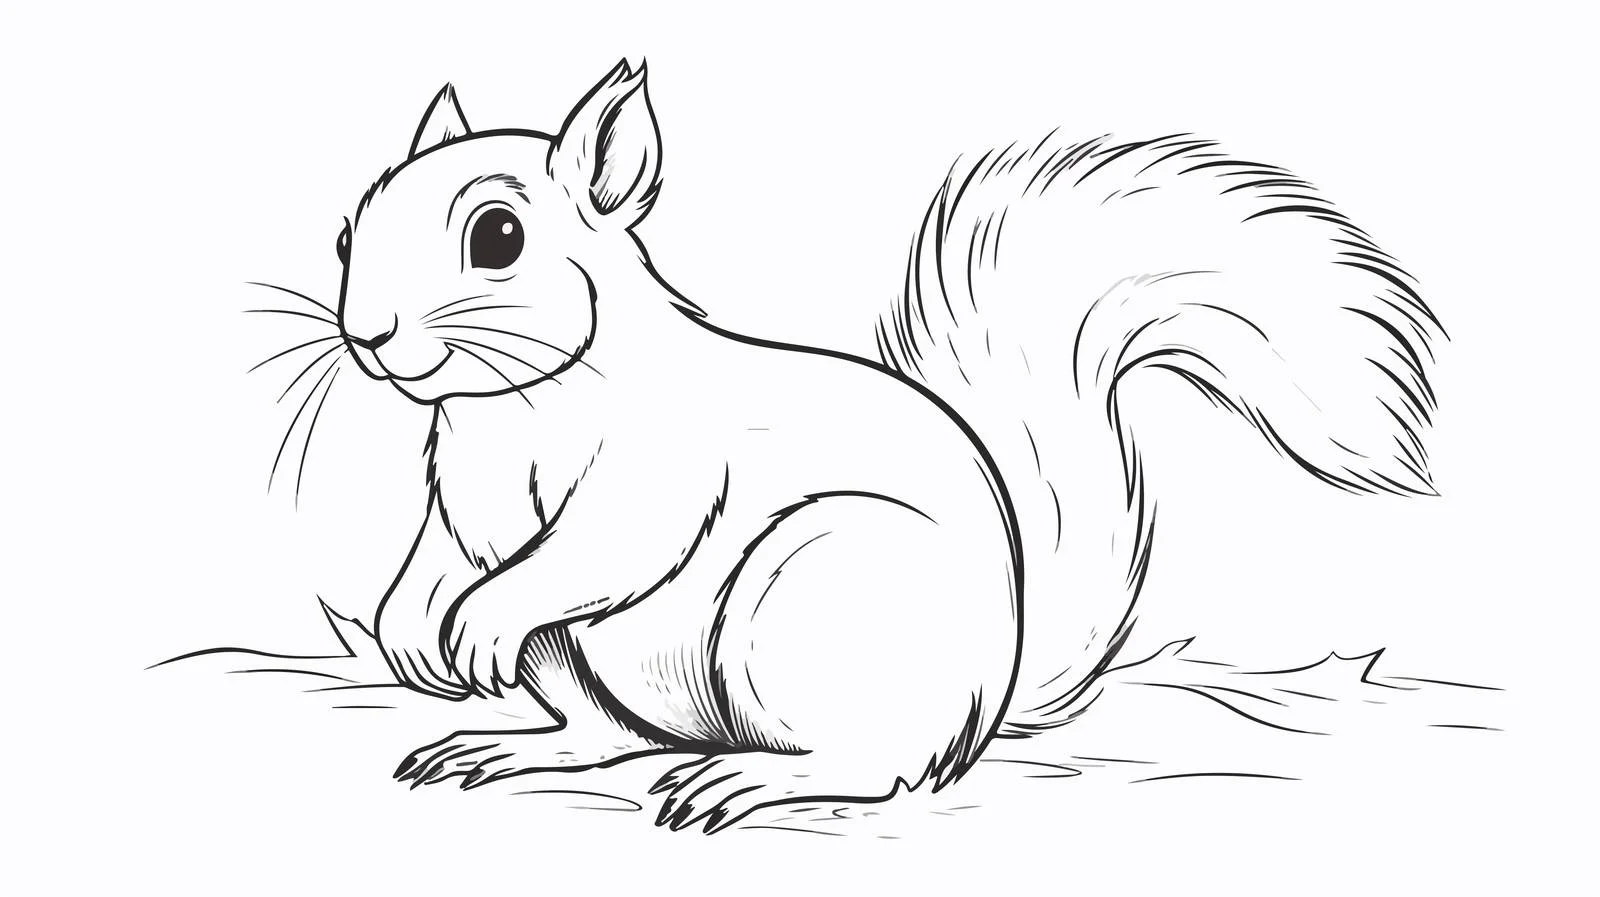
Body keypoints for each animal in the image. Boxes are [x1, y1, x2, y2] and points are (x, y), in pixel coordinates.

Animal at [330, 60, 1442, 833]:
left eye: (499, 237)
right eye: (347, 233)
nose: (366, 336)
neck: (508, 409)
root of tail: (988, 697)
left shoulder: (656, 469)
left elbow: (602, 547)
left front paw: (475, 619)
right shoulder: (459, 498)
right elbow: (436, 553)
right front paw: (406, 625)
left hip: (813, 596)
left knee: (876, 765)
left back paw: (749, 775)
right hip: (579, 660)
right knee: (602, 734)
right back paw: (511, 748)